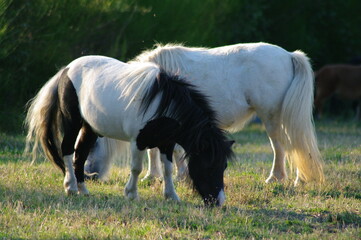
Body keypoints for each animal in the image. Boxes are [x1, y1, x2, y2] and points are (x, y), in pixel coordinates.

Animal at [25, 55, 233, 205]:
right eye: (208, 164)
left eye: (224, 166)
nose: (218, 202)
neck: (162, 104)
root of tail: (66, 70)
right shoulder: (138, 142)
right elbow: (136, 168)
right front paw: (131, 193)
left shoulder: (167, 143)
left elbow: (167, 169)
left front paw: (171, 195)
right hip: (73, 123)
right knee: (68, 150)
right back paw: (71, 188)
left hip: (90, 128)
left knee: (81, 154)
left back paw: (83, 190)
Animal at [83, 42, 324, 186]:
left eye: (92, 145)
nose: (89, 176)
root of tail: (288, 55)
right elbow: (156, 151)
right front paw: (158, 176)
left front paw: (167, 176)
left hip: (271, 117)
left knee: (281, 147)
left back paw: (275, 178)